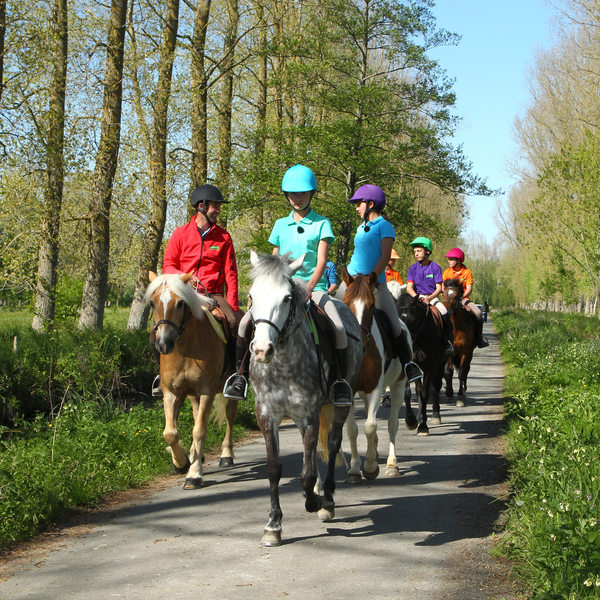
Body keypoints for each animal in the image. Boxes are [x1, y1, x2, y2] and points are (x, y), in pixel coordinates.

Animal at [145, 272, 237, 488]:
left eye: (180, 303)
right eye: (152, 303)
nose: (164, 344)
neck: (186, 349)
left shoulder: (206, 392)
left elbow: (199, 431)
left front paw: (193, 474)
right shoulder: (171, 393)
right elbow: (170, 433)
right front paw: (181, 462)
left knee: (229, 415)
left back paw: (226, 455)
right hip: (192, 395)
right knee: (196, 416)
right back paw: (197, 456)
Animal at [396, 292, 448, 434]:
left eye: (413, 319)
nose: (405, 343)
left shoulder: (429, 366)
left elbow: (425, 393)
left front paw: (423, 427)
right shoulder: (408, 367)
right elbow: (408, 393)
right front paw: (411, 421)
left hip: (440, 364)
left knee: (435, 387)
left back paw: (435, 415)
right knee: (419, 390)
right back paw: (419, 417)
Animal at [438, 278, 476, 406]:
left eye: (456, 295)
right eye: (444, 293)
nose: (444, 308)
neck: (456, 327)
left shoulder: (465, 352)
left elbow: (462, 373)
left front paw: (460, 398)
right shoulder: (451, 352)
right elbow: (448, 372)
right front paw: (449, 394)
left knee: (466, 370)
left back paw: (463, 392)